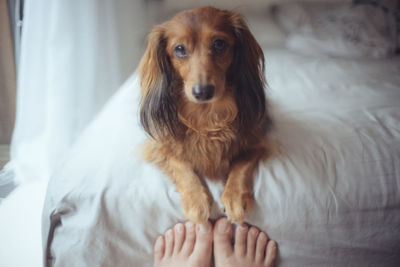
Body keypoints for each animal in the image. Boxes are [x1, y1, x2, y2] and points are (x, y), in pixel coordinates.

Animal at [139, 5, 274, 224]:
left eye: (219, 44)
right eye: (179, 49)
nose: (202, 92)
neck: (207, 117)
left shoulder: (256, 142)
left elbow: (241, 164)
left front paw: (234, 196)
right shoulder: (161, 147)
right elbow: (181, 164)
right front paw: (196, 201)